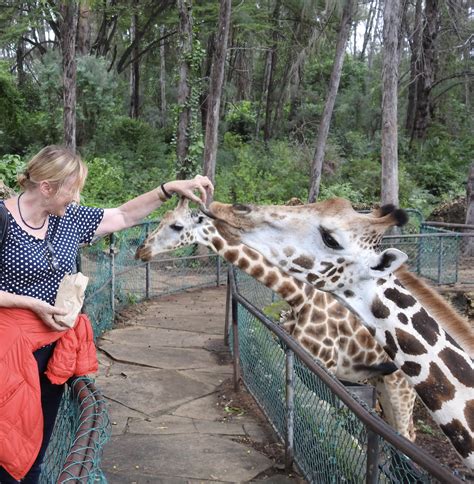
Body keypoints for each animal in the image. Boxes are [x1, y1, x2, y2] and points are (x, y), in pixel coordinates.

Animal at [135, 199, 416, 440]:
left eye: (176, 225)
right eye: (163, 218)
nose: (142, 250)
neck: (299, 297)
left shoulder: (326, 366)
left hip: (400, 385)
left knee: (408, 431)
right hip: (382, 380)